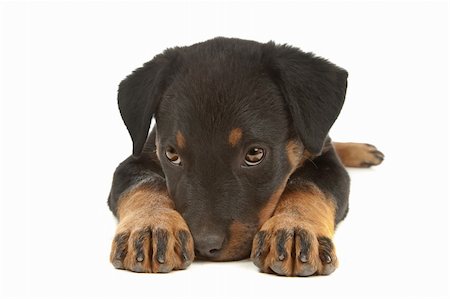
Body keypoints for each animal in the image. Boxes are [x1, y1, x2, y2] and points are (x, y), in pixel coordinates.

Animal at [106, 37, 384, 276]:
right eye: (172, 154)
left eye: (255, 153)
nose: (204, 245)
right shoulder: (135, 159)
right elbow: (146, 185)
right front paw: (151, 227)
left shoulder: (326, 162)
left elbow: (308, 186)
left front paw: (294, 228)